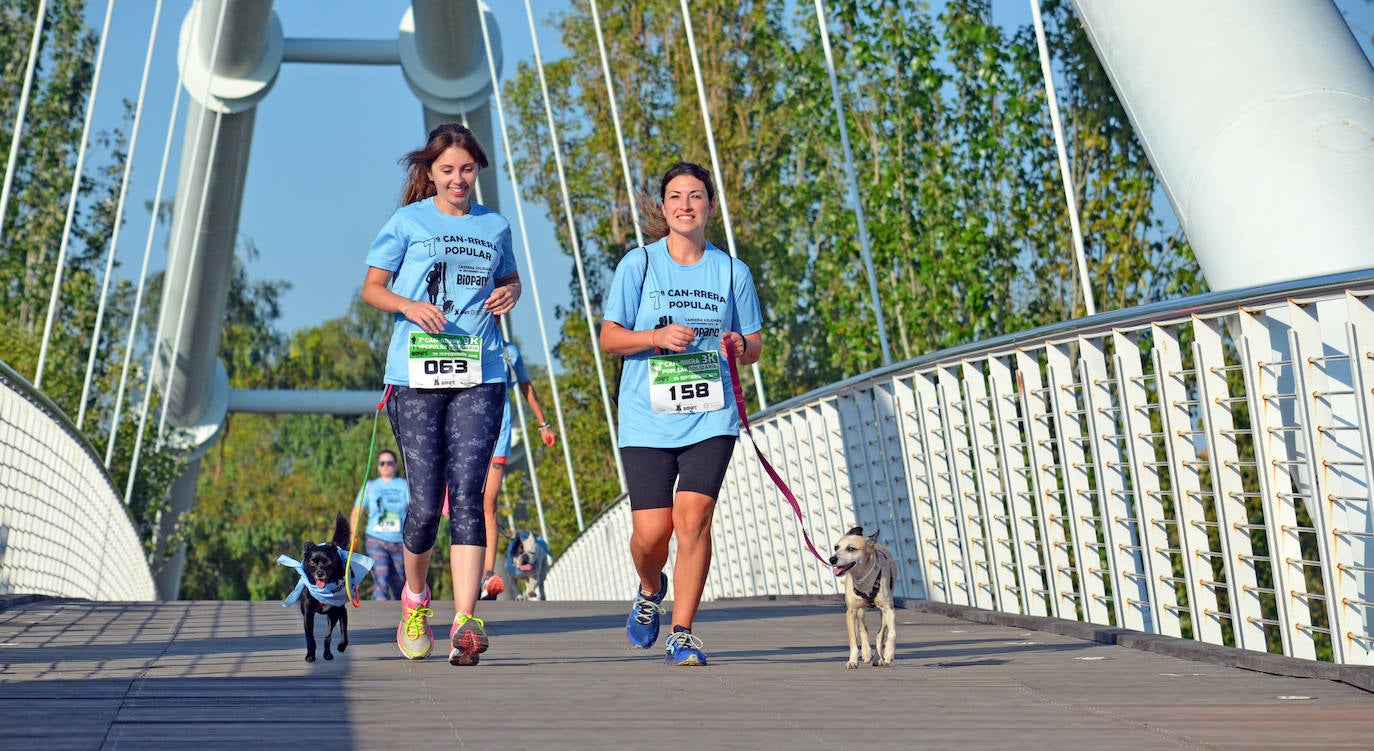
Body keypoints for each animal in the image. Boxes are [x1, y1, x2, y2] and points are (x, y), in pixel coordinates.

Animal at [298, 510, 351, 664]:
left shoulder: (333, 613)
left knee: (344, 626)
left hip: (341, 610)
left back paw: (341, 646)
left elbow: (328, 635)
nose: (320, 573)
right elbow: (310, 638)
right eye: (312, 562)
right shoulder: (308, 614)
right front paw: (310, 655)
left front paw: (328, 653)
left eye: (327, 562)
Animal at [829, 527, 895, 667]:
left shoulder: (888, 609)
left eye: (851, 548)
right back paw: (866, 652)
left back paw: (878, 657)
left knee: (880, 634)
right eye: (836, 547)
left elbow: (891, 633)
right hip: (860, 610)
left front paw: (888, 653)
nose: (832, 559)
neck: (863, 578)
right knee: (862, 626)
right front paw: (852, 661)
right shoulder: (851, 611)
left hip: (883, 612)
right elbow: (853, 640)